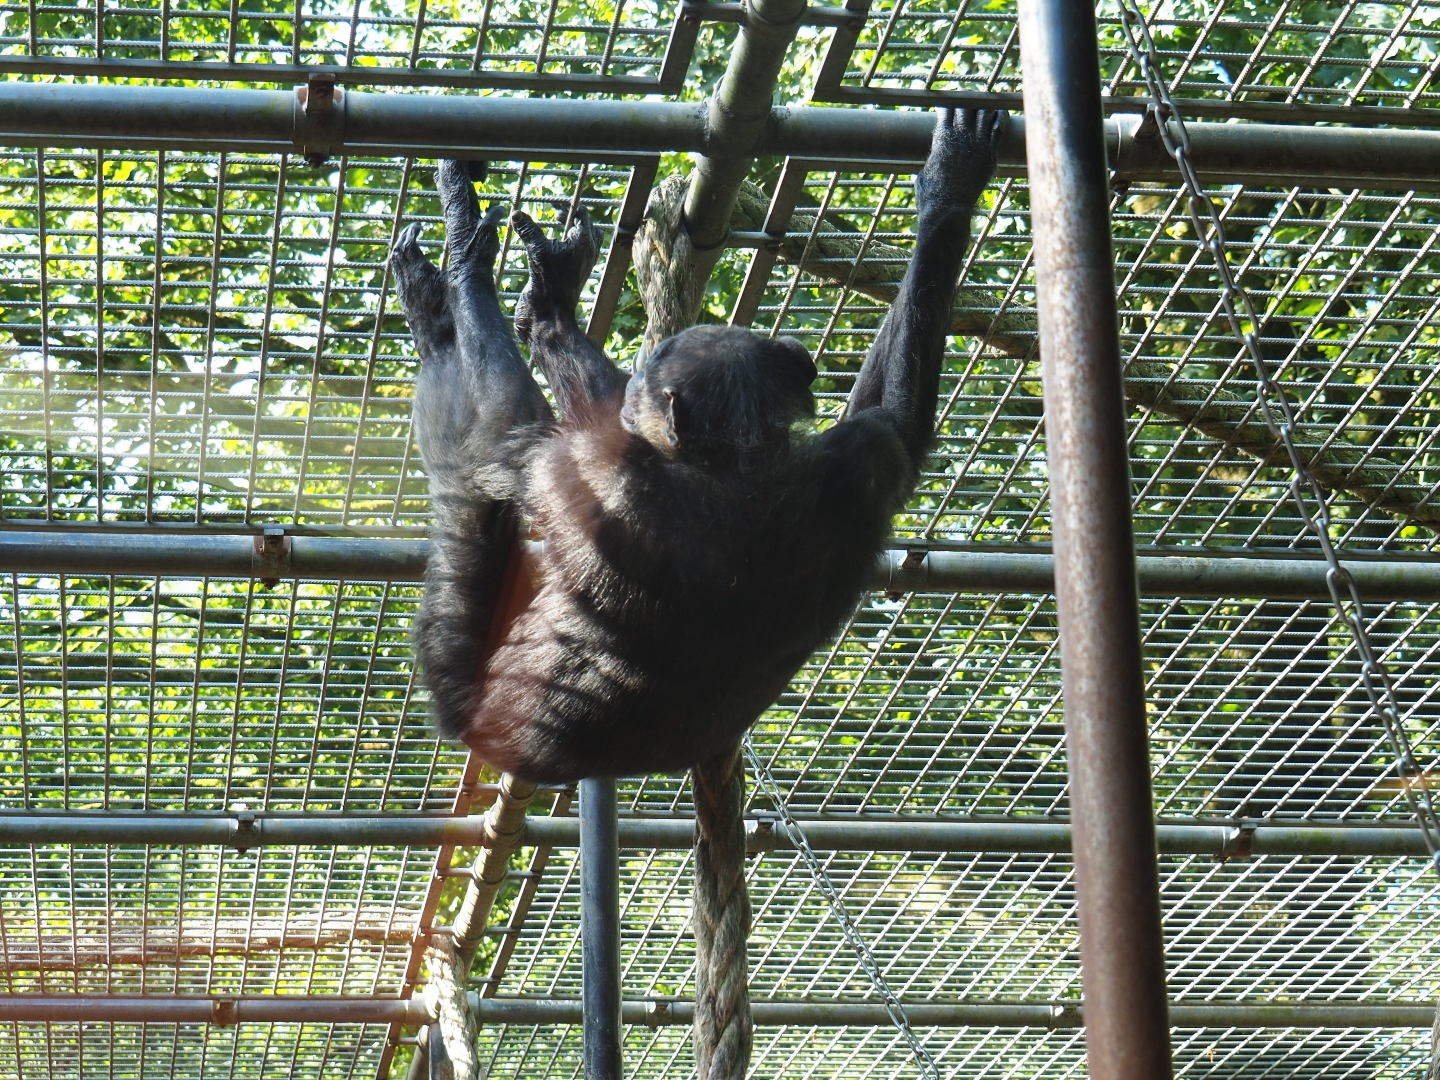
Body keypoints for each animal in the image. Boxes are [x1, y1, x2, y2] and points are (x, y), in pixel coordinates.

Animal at [390, 108, 1005, 783]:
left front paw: (478, 252)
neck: (741, 468)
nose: (634, 390)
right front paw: (949, 191)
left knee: (464, 482)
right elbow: (897, 416)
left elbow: (501, 434)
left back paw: (434, 314)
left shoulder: (594, 476)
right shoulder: (861, 460)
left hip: (463, 691)